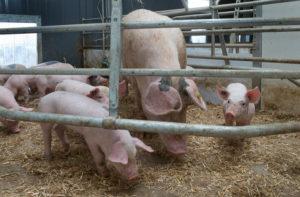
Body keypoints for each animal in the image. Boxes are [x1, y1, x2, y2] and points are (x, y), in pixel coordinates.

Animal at [123, 9, 207, 155]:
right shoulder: (134, 77)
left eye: (186, 107)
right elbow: (139, 101)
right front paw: (143, 135)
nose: (181, 149)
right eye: (164, 113)